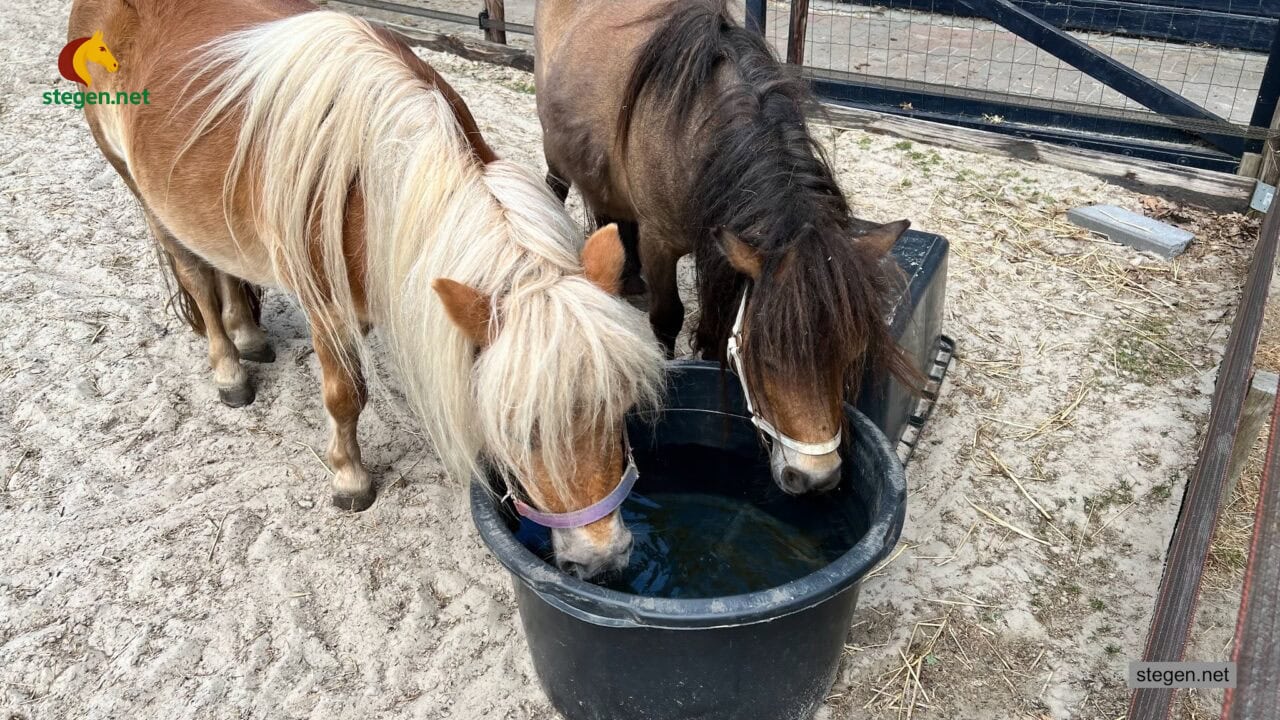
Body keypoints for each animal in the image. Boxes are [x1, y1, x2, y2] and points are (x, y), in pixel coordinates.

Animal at [69, 0, 665, 579]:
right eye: (522, 428)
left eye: (620, 407)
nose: (604, 560)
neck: (370, 184)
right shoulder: (328, 309)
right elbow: (345, 396)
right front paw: (349, 480)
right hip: (144, 195)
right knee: (198, 279)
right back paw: (229, 370)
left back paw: (250, 337)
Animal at [535, 0, 917, 496]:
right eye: (767, 358)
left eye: (849, 353)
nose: (816, 478)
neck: (696, 128)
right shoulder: (661, 243)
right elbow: (668, 318)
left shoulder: (718, 244)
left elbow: (716, 326)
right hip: (554, 150)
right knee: (557, 188)